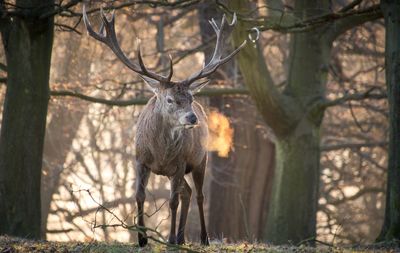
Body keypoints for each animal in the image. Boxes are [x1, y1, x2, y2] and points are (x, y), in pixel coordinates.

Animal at [82, 5, 245, 247]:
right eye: (169, 99)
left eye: (190, 98)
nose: (192, 118)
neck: (161, 154)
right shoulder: (140, 159)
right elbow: (139, 195)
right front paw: (142, 239)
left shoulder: (179, 163)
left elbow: (172, 201)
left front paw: (168, 239)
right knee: (187, 192)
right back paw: (181, 237)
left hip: (200, 160)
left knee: (198, 195)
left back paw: (201, 238)